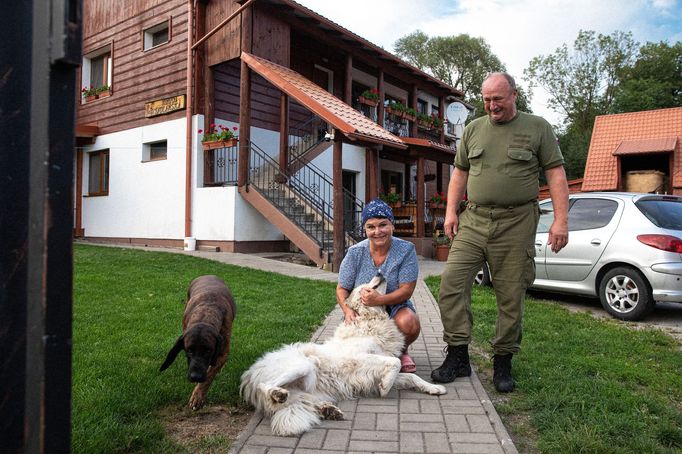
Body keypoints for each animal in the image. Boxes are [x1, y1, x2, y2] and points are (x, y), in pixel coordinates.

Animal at [160, 274, 236, 410]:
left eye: (208, 351)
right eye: (189, 350)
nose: (196, 376)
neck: (205, 315)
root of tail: (208, 275)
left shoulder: (222, 352)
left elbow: (210, 374)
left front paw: (198, 396)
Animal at [239, 274, 446, 436]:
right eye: (364, 284)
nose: (380, 272)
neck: (368, 320)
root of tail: (251, 372)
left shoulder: (376, 371)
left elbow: (411, 376)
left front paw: (433, 388)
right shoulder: (359, 360)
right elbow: (395, 362)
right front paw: (385, 387)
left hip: (311, 390)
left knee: (301, 402)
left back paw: (328, 411)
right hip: (302, 366)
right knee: (266, 386)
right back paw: (278, 394)